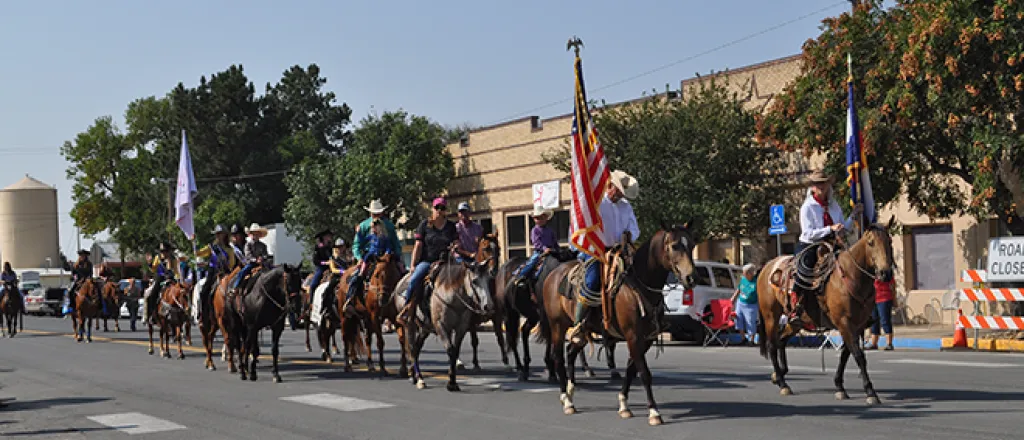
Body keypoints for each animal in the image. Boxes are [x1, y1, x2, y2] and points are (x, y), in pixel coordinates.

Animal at [536, 225, 696, 423]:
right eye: (674, 246)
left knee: (571, 352)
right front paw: (654, 412)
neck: (638, 285)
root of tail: (552, 275)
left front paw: (624, 405)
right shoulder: (633, 336)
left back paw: (571, 391)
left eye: (692, 244)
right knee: (558, 357)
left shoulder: (645, 339)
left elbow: (631, 370)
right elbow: (644, 373)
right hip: (557, 325)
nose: (691, 278)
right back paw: (566, 400)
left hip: (582, 330)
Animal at [757, 220, 892, 405]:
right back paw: (783, 384)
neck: (851, 277)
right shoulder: (844, 322)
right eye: (871, 243)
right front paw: (870, 392)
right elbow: (858, 355)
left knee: (781, 340)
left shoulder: (858, 324)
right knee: (772, 345)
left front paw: (840, 387)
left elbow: (845, 354)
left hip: (797, 322)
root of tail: (766, 267)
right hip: (770, 315)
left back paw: (778, 376)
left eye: (890, 241)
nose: (886, 273)